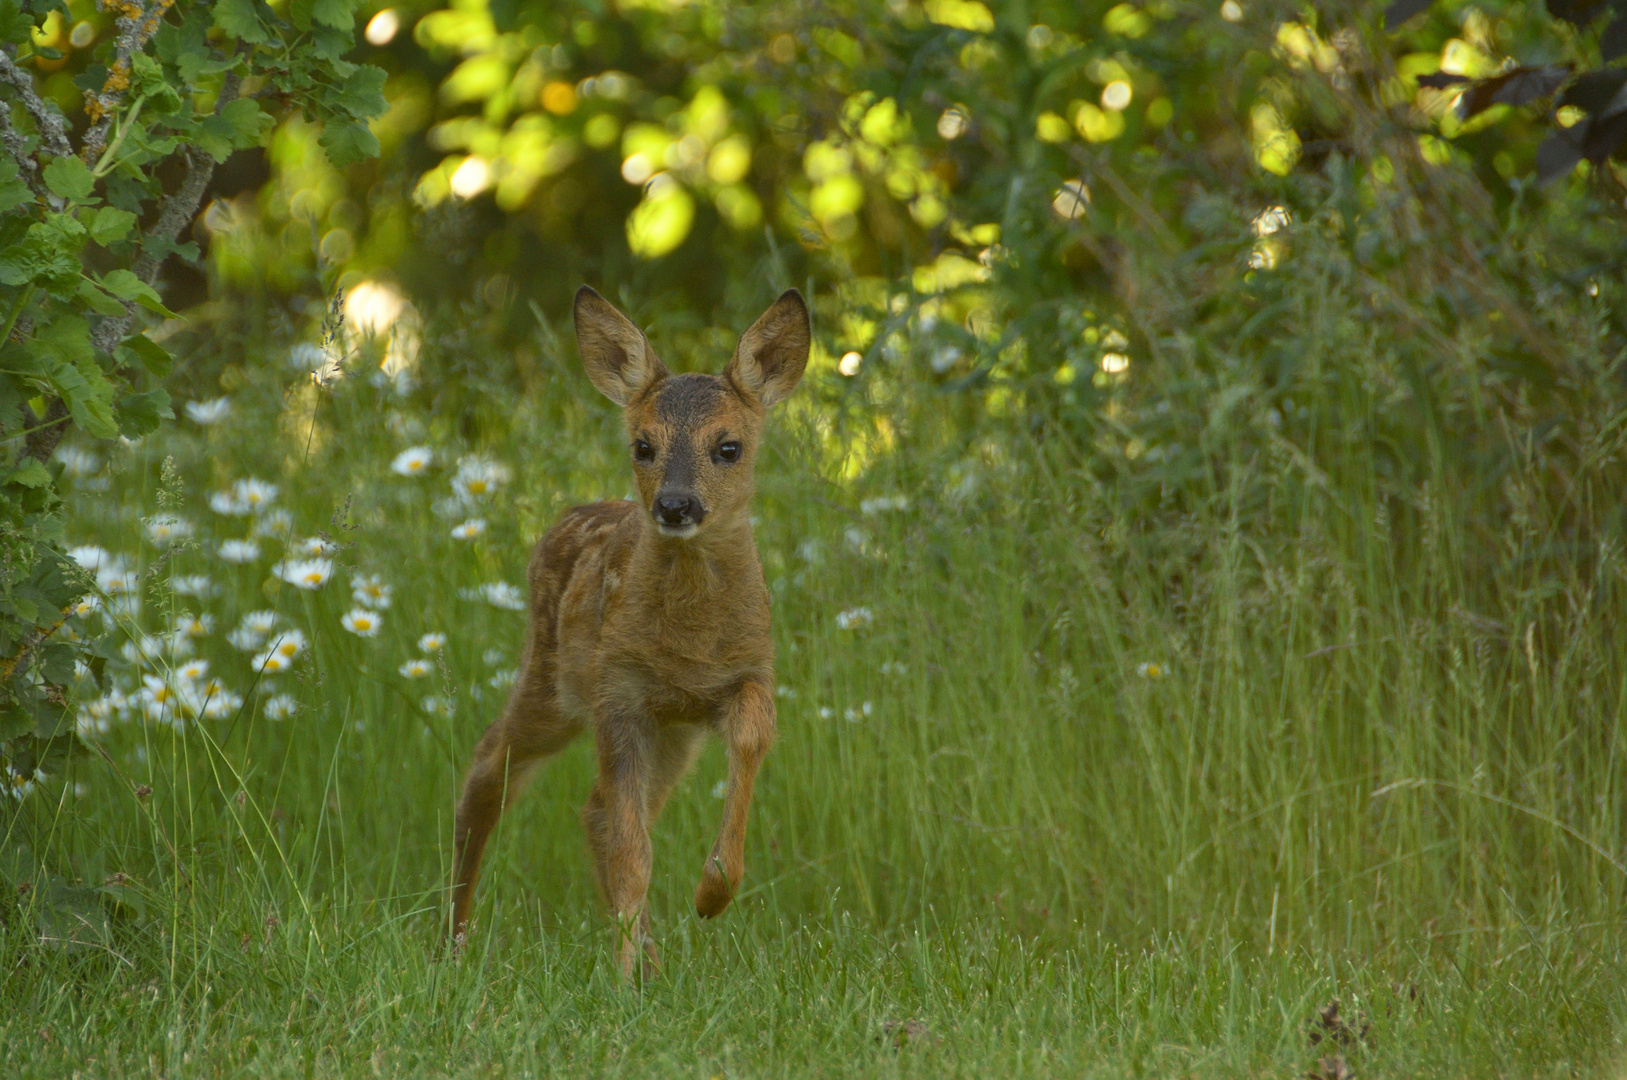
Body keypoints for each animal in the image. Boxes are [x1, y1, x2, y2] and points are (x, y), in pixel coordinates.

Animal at [449, 284, 810, 975]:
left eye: (729, 447)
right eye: (642, 445)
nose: (674, 505)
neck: (689, 646)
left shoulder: (751, 673)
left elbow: (749, 741)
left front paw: (712, 895)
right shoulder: (619, 694)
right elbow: (631, 850)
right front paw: (618, 977)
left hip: (672, 734)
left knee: (594, 808)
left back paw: (651, 961)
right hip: (554, 681)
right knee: (488, 768)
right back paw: (454, 938)